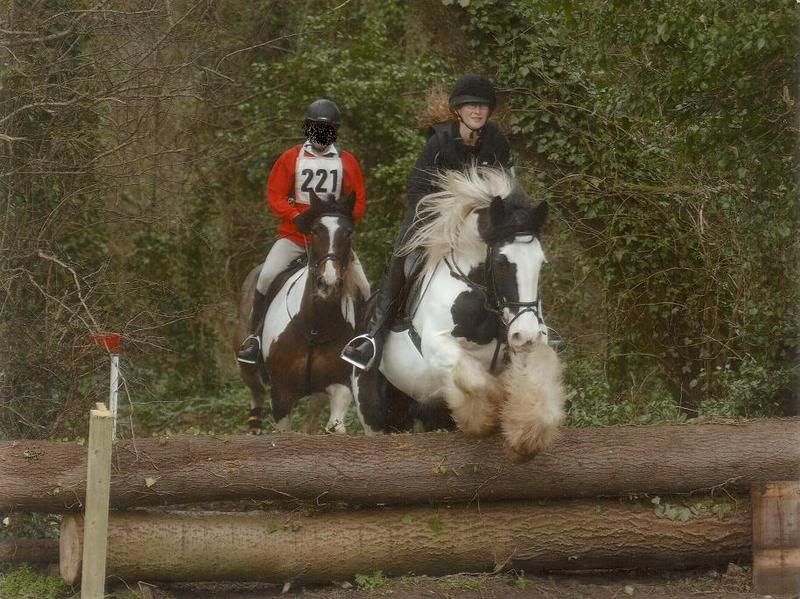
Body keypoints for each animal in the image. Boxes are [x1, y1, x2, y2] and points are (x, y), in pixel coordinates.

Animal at [233, 192, 368, 436]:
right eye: (315, 230)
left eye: (348, 232)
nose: (328, 283)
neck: (315, 326)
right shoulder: (281, 393)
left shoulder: (339, 385)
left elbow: (335, 425)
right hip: (247, 366)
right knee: (256, 391)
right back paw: (254, 425)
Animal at [354, 166, 564, 462]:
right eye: (501, 262)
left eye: (540, 263)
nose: (527, 334)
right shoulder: (438, 346)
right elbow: (477, 380)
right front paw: (485, 417)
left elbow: (534, 382)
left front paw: (526, 435)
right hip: (376, 416)